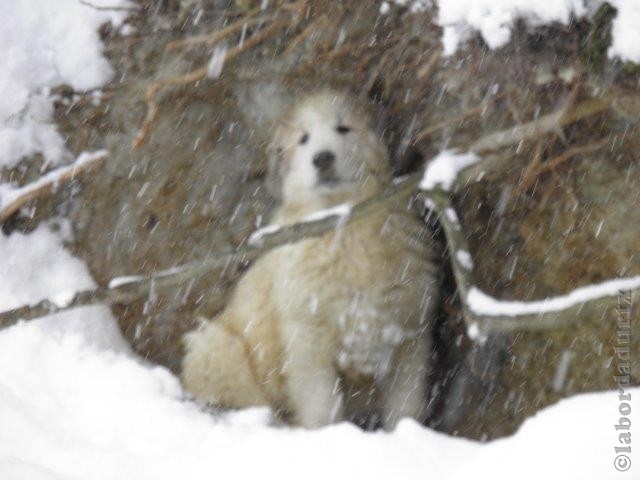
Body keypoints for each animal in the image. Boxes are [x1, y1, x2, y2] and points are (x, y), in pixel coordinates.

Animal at [180, 92, 440, 430]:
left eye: (344, 128)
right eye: (303, 139)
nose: (323, 158)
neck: (343, 227)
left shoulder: (409, 336)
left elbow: (406, 406)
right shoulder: (307, 343)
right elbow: (322, 409)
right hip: (215, 349)